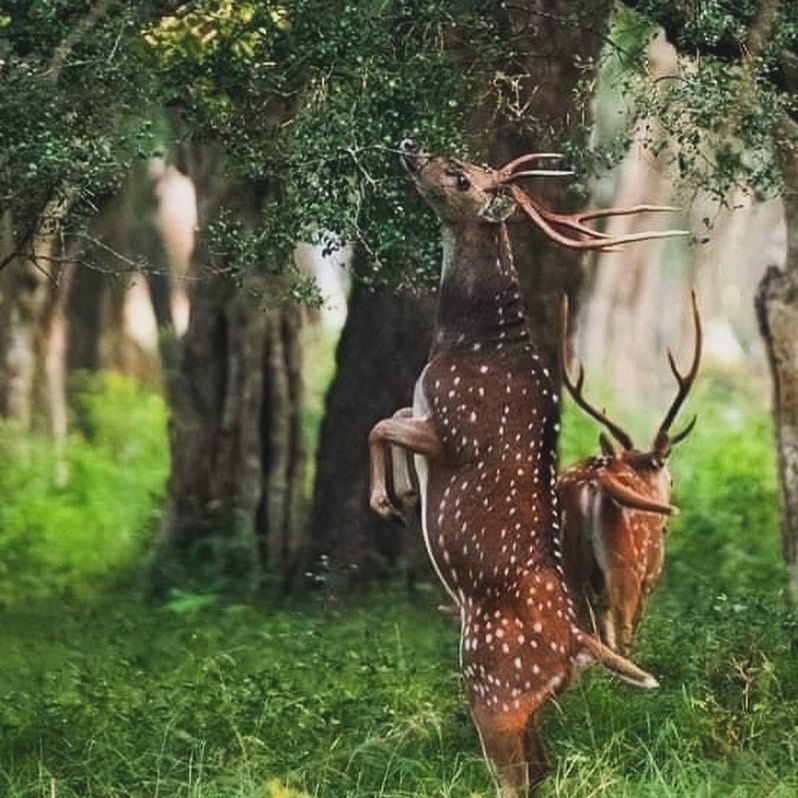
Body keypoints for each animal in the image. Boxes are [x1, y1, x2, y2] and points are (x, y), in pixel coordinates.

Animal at [558, 291, 702, 656]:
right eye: (671, 478)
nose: (665, 525)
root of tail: (593, 482)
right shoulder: (651, 573)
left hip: (570, 566)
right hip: (624, 566)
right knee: (620, 636)